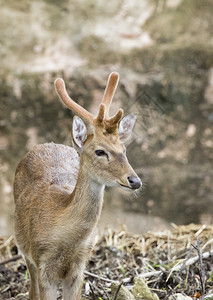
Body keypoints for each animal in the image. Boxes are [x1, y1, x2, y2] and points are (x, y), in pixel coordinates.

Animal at [13, 72, 141, 300]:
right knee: (31, 290)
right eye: (100, 151)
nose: (135, 181)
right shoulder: (42, 262)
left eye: (124, 149)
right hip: (25, 249)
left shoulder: (80, 265)